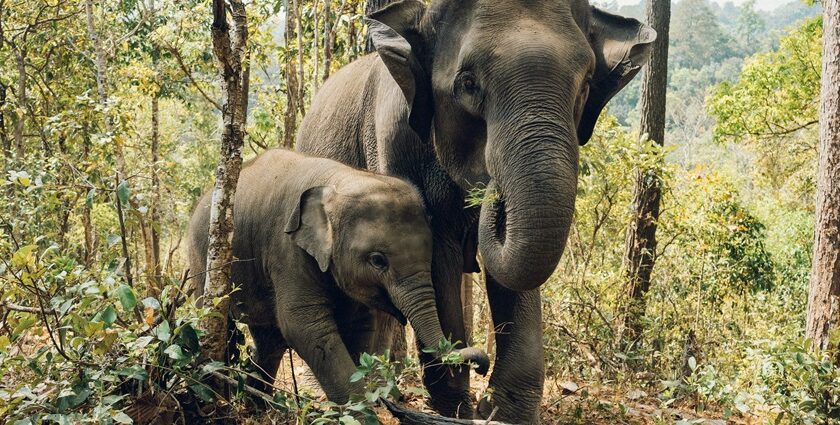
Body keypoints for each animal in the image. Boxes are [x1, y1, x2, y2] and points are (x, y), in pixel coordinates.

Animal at [187, 150, 488, 404]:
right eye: (378, 260)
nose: (482, 367)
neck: (340, 180)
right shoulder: (287, 249)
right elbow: (305, 326)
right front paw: (362, 409)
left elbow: (360, 325)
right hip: (203, 259)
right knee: (220, 323)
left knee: (269, 339)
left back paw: (257, 405)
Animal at [296, 0, 656, 420]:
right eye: (468, 84)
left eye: (584, 86)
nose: (492, 189)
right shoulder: (395, 143)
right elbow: (438, 257)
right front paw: (458, 409)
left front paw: (502, 413)